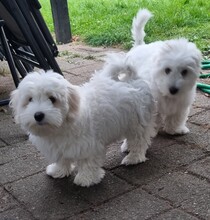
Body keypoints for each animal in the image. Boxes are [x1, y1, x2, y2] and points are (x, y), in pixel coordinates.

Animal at [10, 66, 156, 186]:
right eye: (30, 99)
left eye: (52, 99)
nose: (38, 115)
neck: (61, 126)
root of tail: (132, 79)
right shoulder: (59, 147)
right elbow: (62, 159)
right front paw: (58, 171)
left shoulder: (88, 145)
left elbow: (88, 162)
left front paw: (86, 179)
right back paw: (127, 147)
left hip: (137, 122)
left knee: (139, 140)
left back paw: (133, 158)